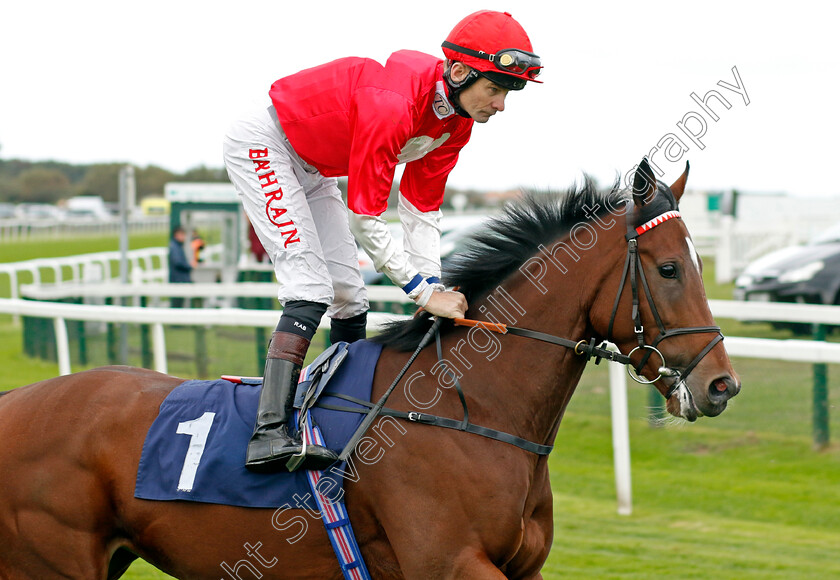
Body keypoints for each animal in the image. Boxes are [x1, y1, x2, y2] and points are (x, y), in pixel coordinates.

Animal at [0, 159, 740, 580]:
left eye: (701, 265)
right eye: (669, 269)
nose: (721, 384)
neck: (467, 409)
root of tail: (16, 401)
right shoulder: (448, 564)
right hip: (53, 562)